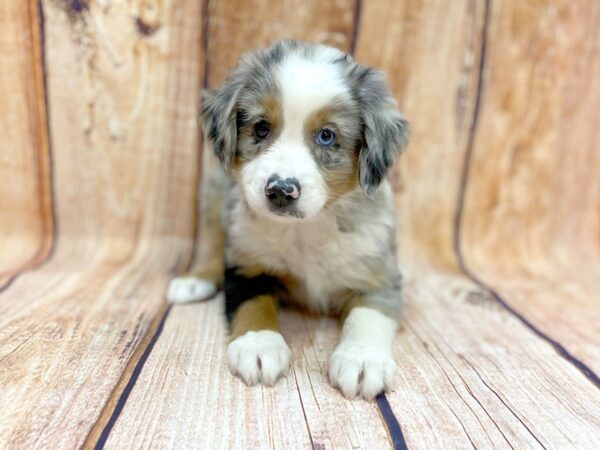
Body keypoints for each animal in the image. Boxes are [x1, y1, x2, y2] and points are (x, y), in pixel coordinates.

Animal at [171, 41, 410, 400]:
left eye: (326, 136)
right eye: (261, 128)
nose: (281, 190)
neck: (306, 229)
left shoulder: (379, 272)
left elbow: (368, 314)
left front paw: (362, 358)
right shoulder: (246, 264)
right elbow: (254, 304)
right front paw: (258, 345)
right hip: (213, 192)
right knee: (211, 240)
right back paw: (193, 280)